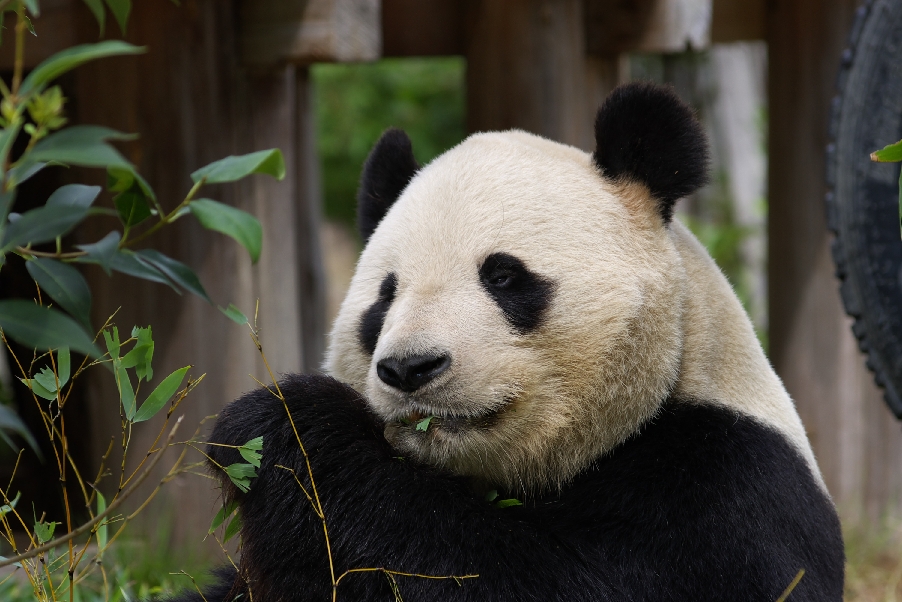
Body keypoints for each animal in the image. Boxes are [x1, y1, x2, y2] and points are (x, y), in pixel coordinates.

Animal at [182, 83, 848, 600]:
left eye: (502, 276)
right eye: (384, 298)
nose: (410, 367)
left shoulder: (725, 491)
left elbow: (511, 576)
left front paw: (286, 424)